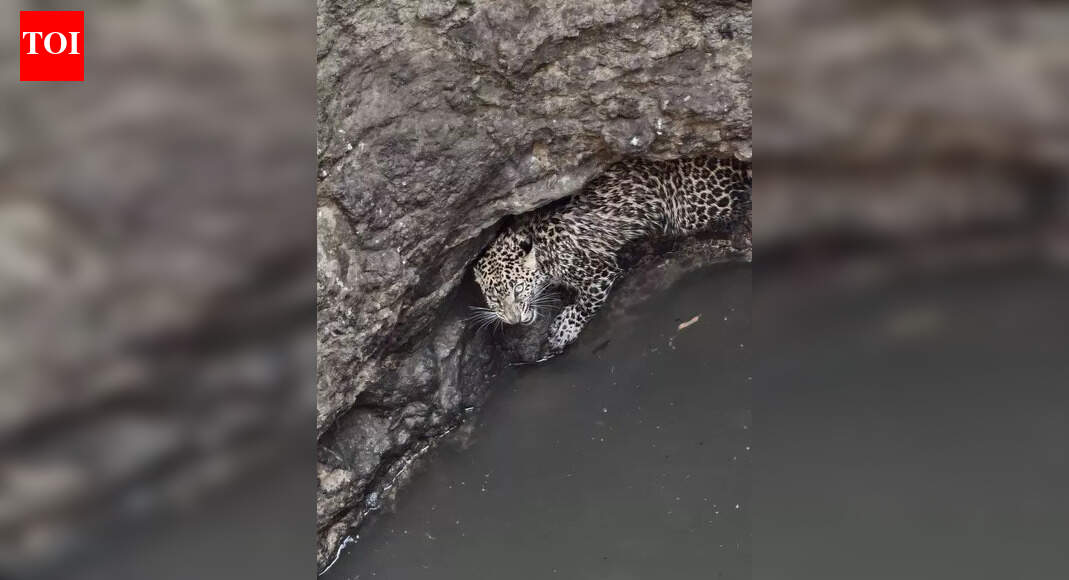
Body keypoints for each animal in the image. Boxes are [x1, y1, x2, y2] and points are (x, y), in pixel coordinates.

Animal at [472, 156, 751, 357]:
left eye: (518, 290)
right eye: (494, 299)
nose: (513, 320)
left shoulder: (598, 273)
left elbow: (584, 305)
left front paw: (563, 331)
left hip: (690, 211)